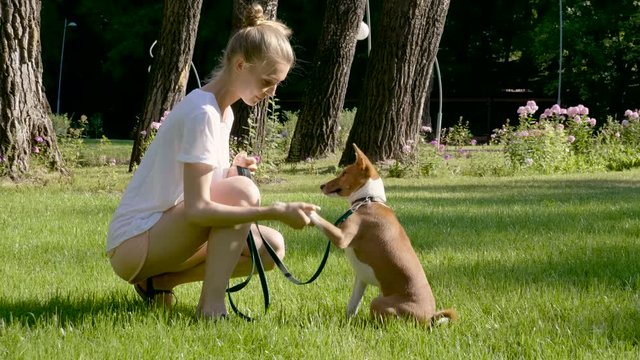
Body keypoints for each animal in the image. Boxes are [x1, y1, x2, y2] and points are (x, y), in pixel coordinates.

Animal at [308, 144, 456, 326]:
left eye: (344, 173)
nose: (322, 185)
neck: (368, 199)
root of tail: (428, 318)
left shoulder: (342, 237)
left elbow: (321, 221)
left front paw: (303, 211)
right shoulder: (361, 278)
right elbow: (352, 306)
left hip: (377, 302)